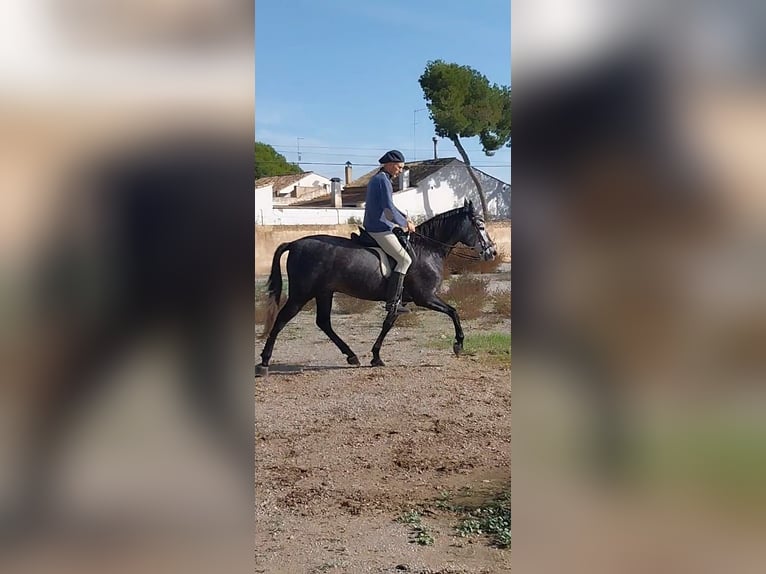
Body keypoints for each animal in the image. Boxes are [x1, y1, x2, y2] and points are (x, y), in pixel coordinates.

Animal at [258, 200, 498, 376]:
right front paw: (458, 344)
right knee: (281, 320)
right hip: (301, 295)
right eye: (480, 225)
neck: (428, 248)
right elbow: (454, 312)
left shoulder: (400, 300)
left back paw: (351, 356)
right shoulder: (426, 297)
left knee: (323, 322)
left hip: (324, 292)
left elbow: (387, 324)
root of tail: (294, 243)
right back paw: (264, 362)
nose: (492, 252)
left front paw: (376, 356)